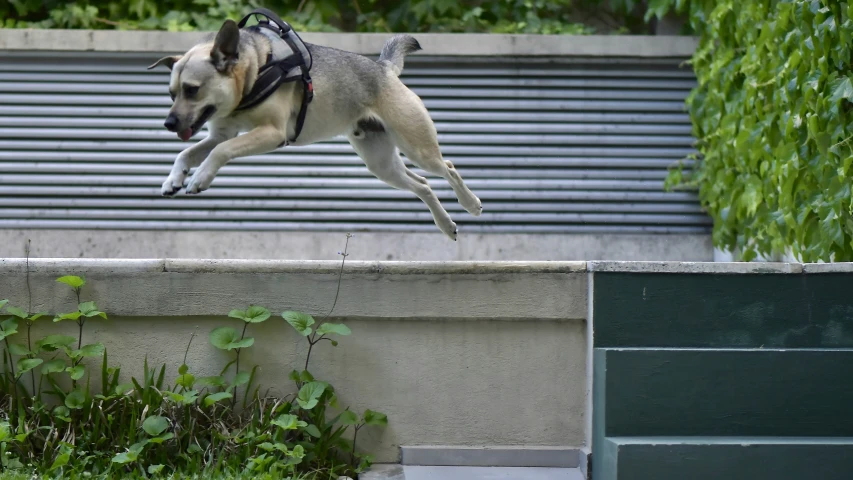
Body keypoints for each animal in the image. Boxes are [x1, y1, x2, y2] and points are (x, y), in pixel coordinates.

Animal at [146, 17, 480, 239]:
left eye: (192, 90)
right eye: (171, 94)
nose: (168, 123)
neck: (255, 68)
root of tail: (384, 69)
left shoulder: (271, 133)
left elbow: (220, 151)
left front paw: (200, 177)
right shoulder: (220, 132)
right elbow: (188, 152)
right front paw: (174, 179)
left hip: (417, 147)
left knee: (448, 167)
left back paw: (471, 203)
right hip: (382, 164)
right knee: (422, 185)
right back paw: (446, 225)